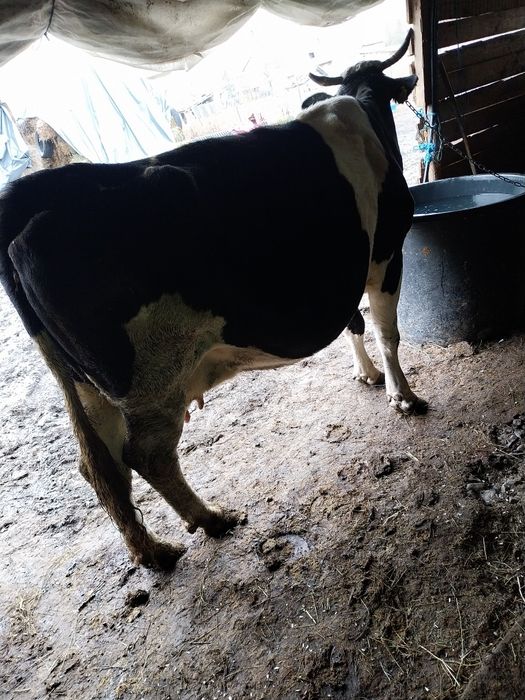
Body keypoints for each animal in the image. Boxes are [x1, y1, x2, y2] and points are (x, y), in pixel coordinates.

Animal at [0, 30, 425, 571]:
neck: (362, 113)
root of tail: (32, 191)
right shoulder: (387, 253)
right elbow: (387, 332)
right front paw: (403, 395)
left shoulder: (349, 267)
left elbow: (354, 324)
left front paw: (367, 375)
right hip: (151, 379)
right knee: (147, 455)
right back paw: (211, 518)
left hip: (83, 386)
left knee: (99, 467)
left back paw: (153, 550)